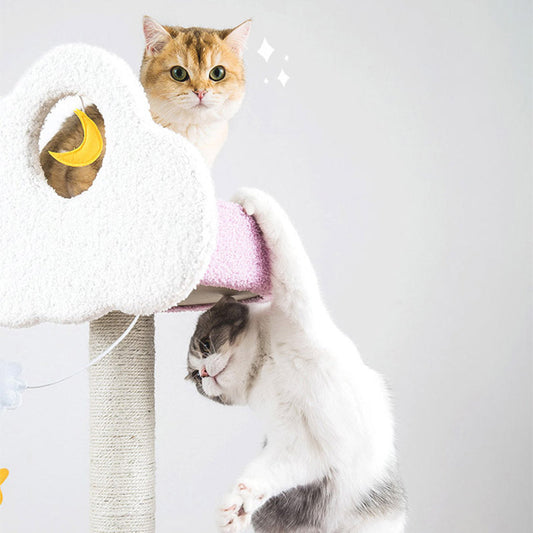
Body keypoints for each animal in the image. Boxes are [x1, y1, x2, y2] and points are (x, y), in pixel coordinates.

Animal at [186, 188, 407, 533]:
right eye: (195, 378)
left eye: (205, 344)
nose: (205, 374)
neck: (267, 364)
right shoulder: (296, 445)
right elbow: (270, 470)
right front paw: (239, 506)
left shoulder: (296, 301)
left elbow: (285, 241)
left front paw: (250, 197)